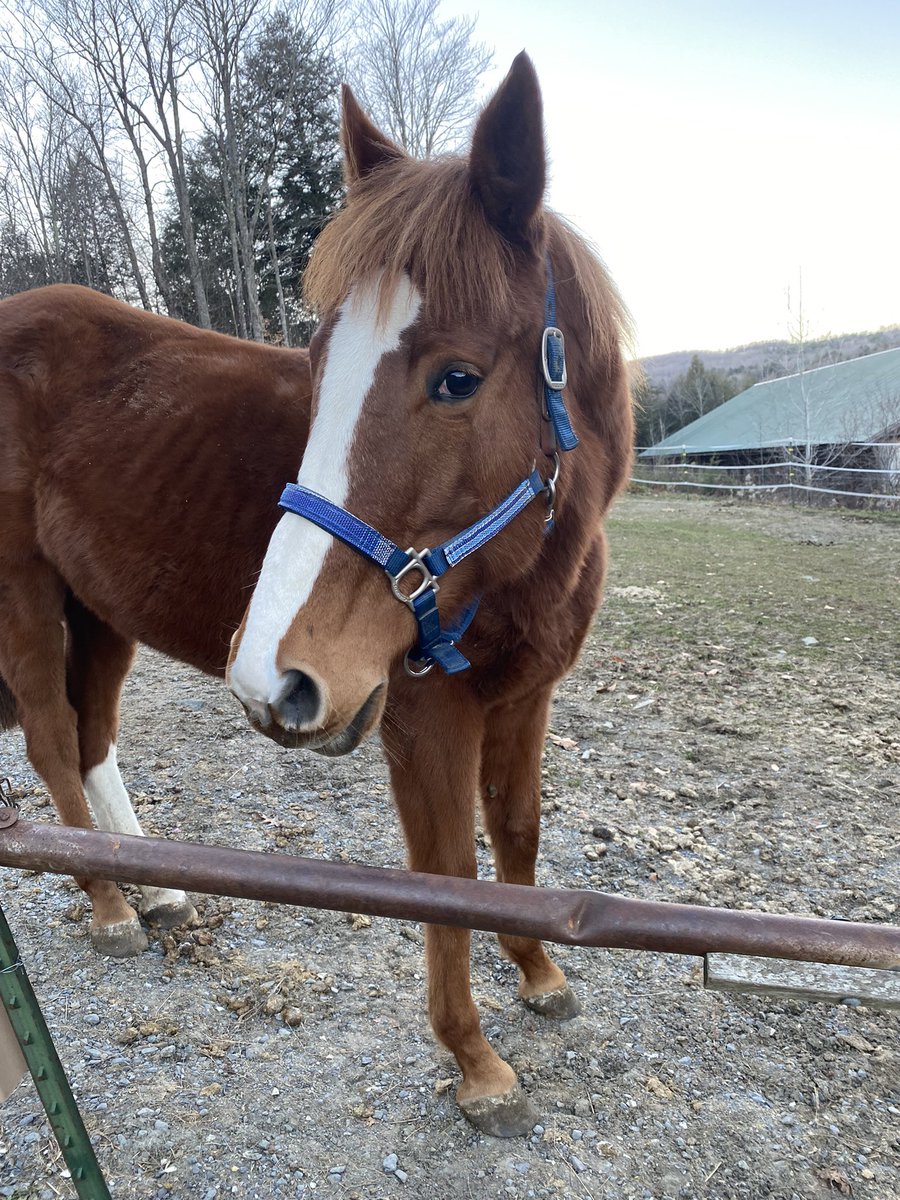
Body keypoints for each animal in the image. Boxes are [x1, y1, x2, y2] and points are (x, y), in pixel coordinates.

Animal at [0, 54, 633, 1136]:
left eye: (457, 378)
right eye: (317, 363)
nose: (275, 678)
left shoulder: (527, 696)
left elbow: (517, 833)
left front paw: (541, 972)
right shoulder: (427, 716)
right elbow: (448, 876)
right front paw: (477, 1064)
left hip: (101, 610)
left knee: (89, 739)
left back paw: (155, 889)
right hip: (26, 598)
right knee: (48, 738)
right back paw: (112, 906)